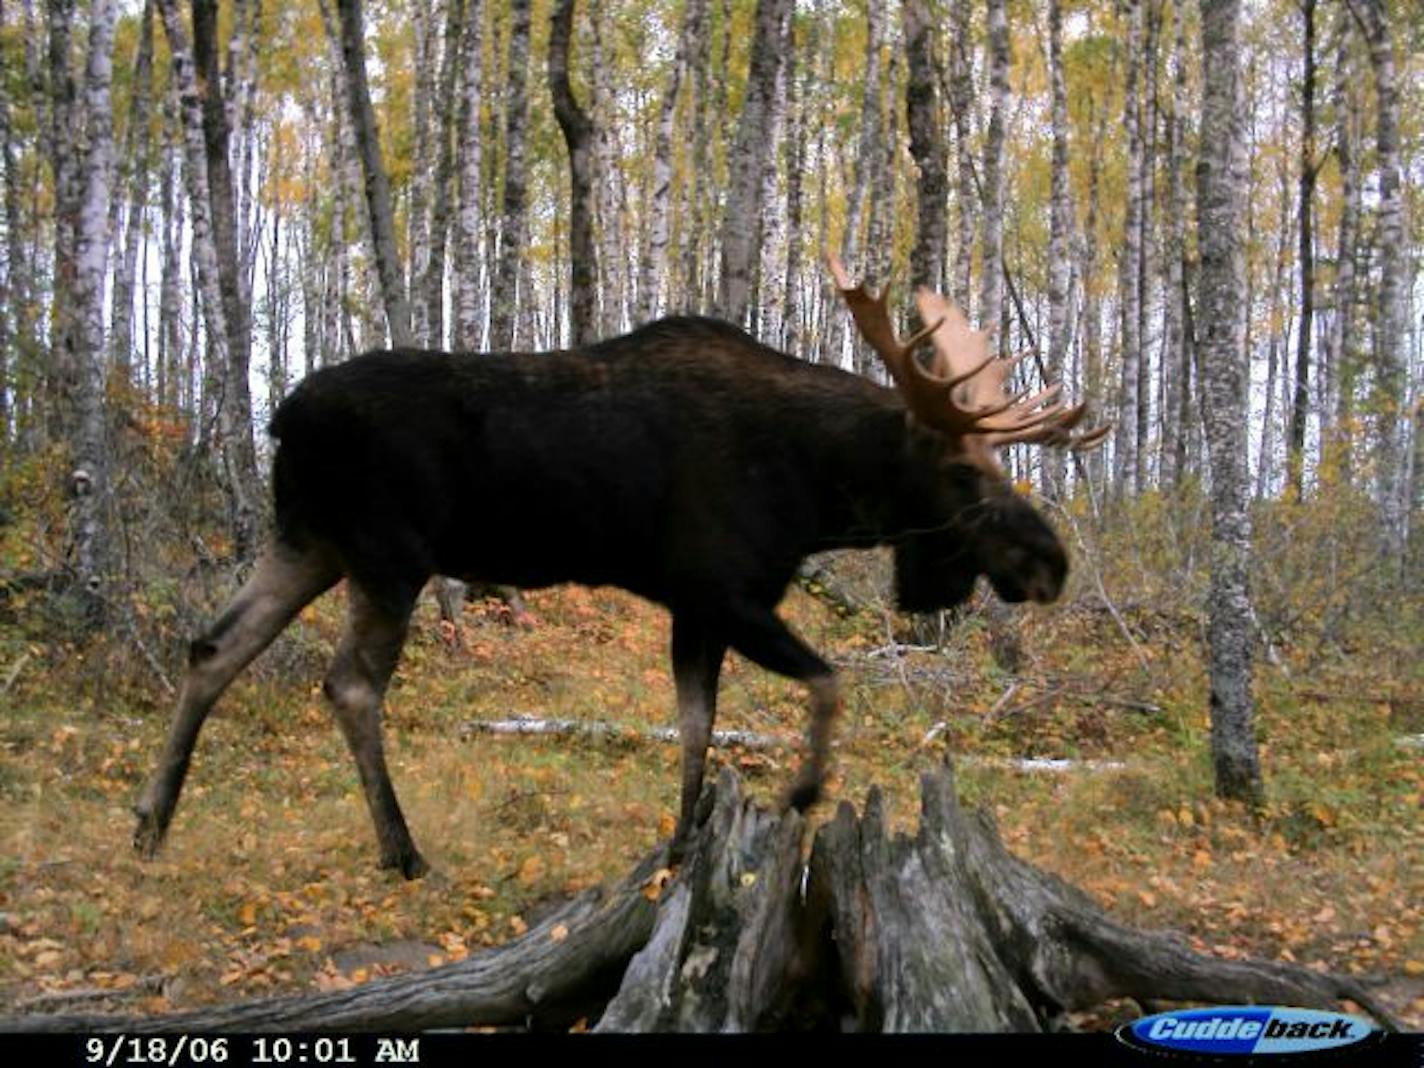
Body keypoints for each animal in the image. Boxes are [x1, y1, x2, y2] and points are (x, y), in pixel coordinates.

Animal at [133, 259, 1105, 877]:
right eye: (963, 472)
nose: (1050, 561)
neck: (819, 491)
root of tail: (282, 417)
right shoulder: (722, 588)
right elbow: (828, 684)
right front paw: (800, 789)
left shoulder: (696, 608)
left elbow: (697, 727)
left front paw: (682, 844)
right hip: (387, 555)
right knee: (349, 685)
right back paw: (401, 851)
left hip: (310, 543)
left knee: (213, 647)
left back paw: (152, 824)